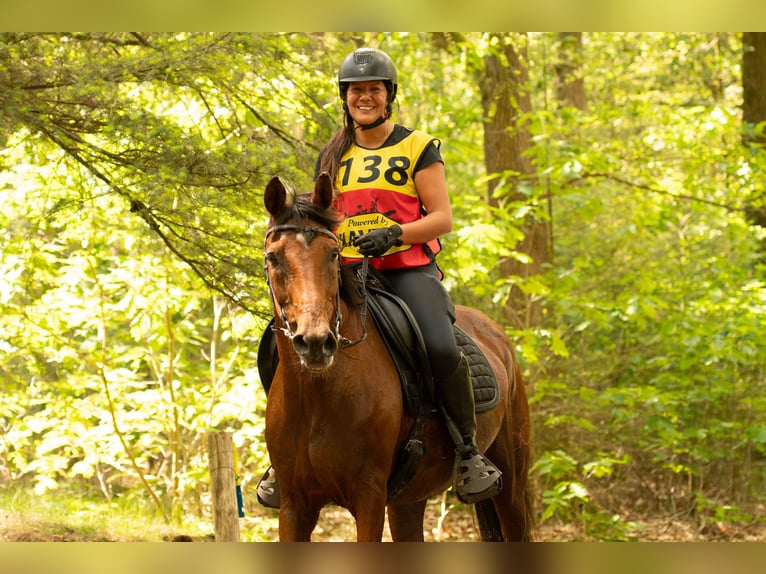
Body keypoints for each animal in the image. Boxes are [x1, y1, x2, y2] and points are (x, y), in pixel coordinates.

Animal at [262, 173, 536, 544]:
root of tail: (494, 331)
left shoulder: (369, 496)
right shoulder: (294, 504)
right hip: (408, 500)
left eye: (332, 254)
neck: (318, 395)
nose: (316, 343)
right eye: (273, 257)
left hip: (510, 482)